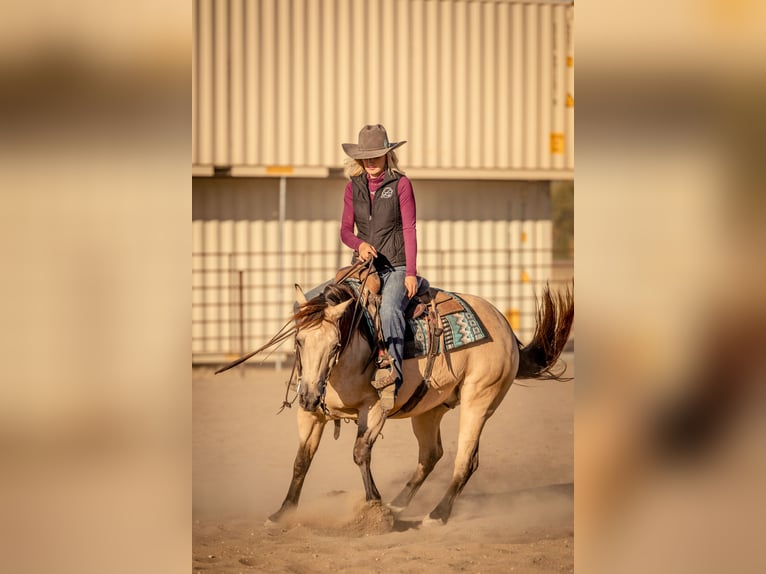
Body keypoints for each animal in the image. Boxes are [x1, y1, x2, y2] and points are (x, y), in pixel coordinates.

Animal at [252, 274, 576, 528]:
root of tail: (504, 326)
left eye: (335, 345)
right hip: (429, 409)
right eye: (299, 341)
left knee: (466, 460)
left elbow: (360, 452)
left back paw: (437, 515)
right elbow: (301, 460)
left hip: (480, 400)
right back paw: (398, 505)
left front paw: (374, 505)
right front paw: (282, 513)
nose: (308, 396)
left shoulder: (375, 408)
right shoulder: (311, 414)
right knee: (431, 454)